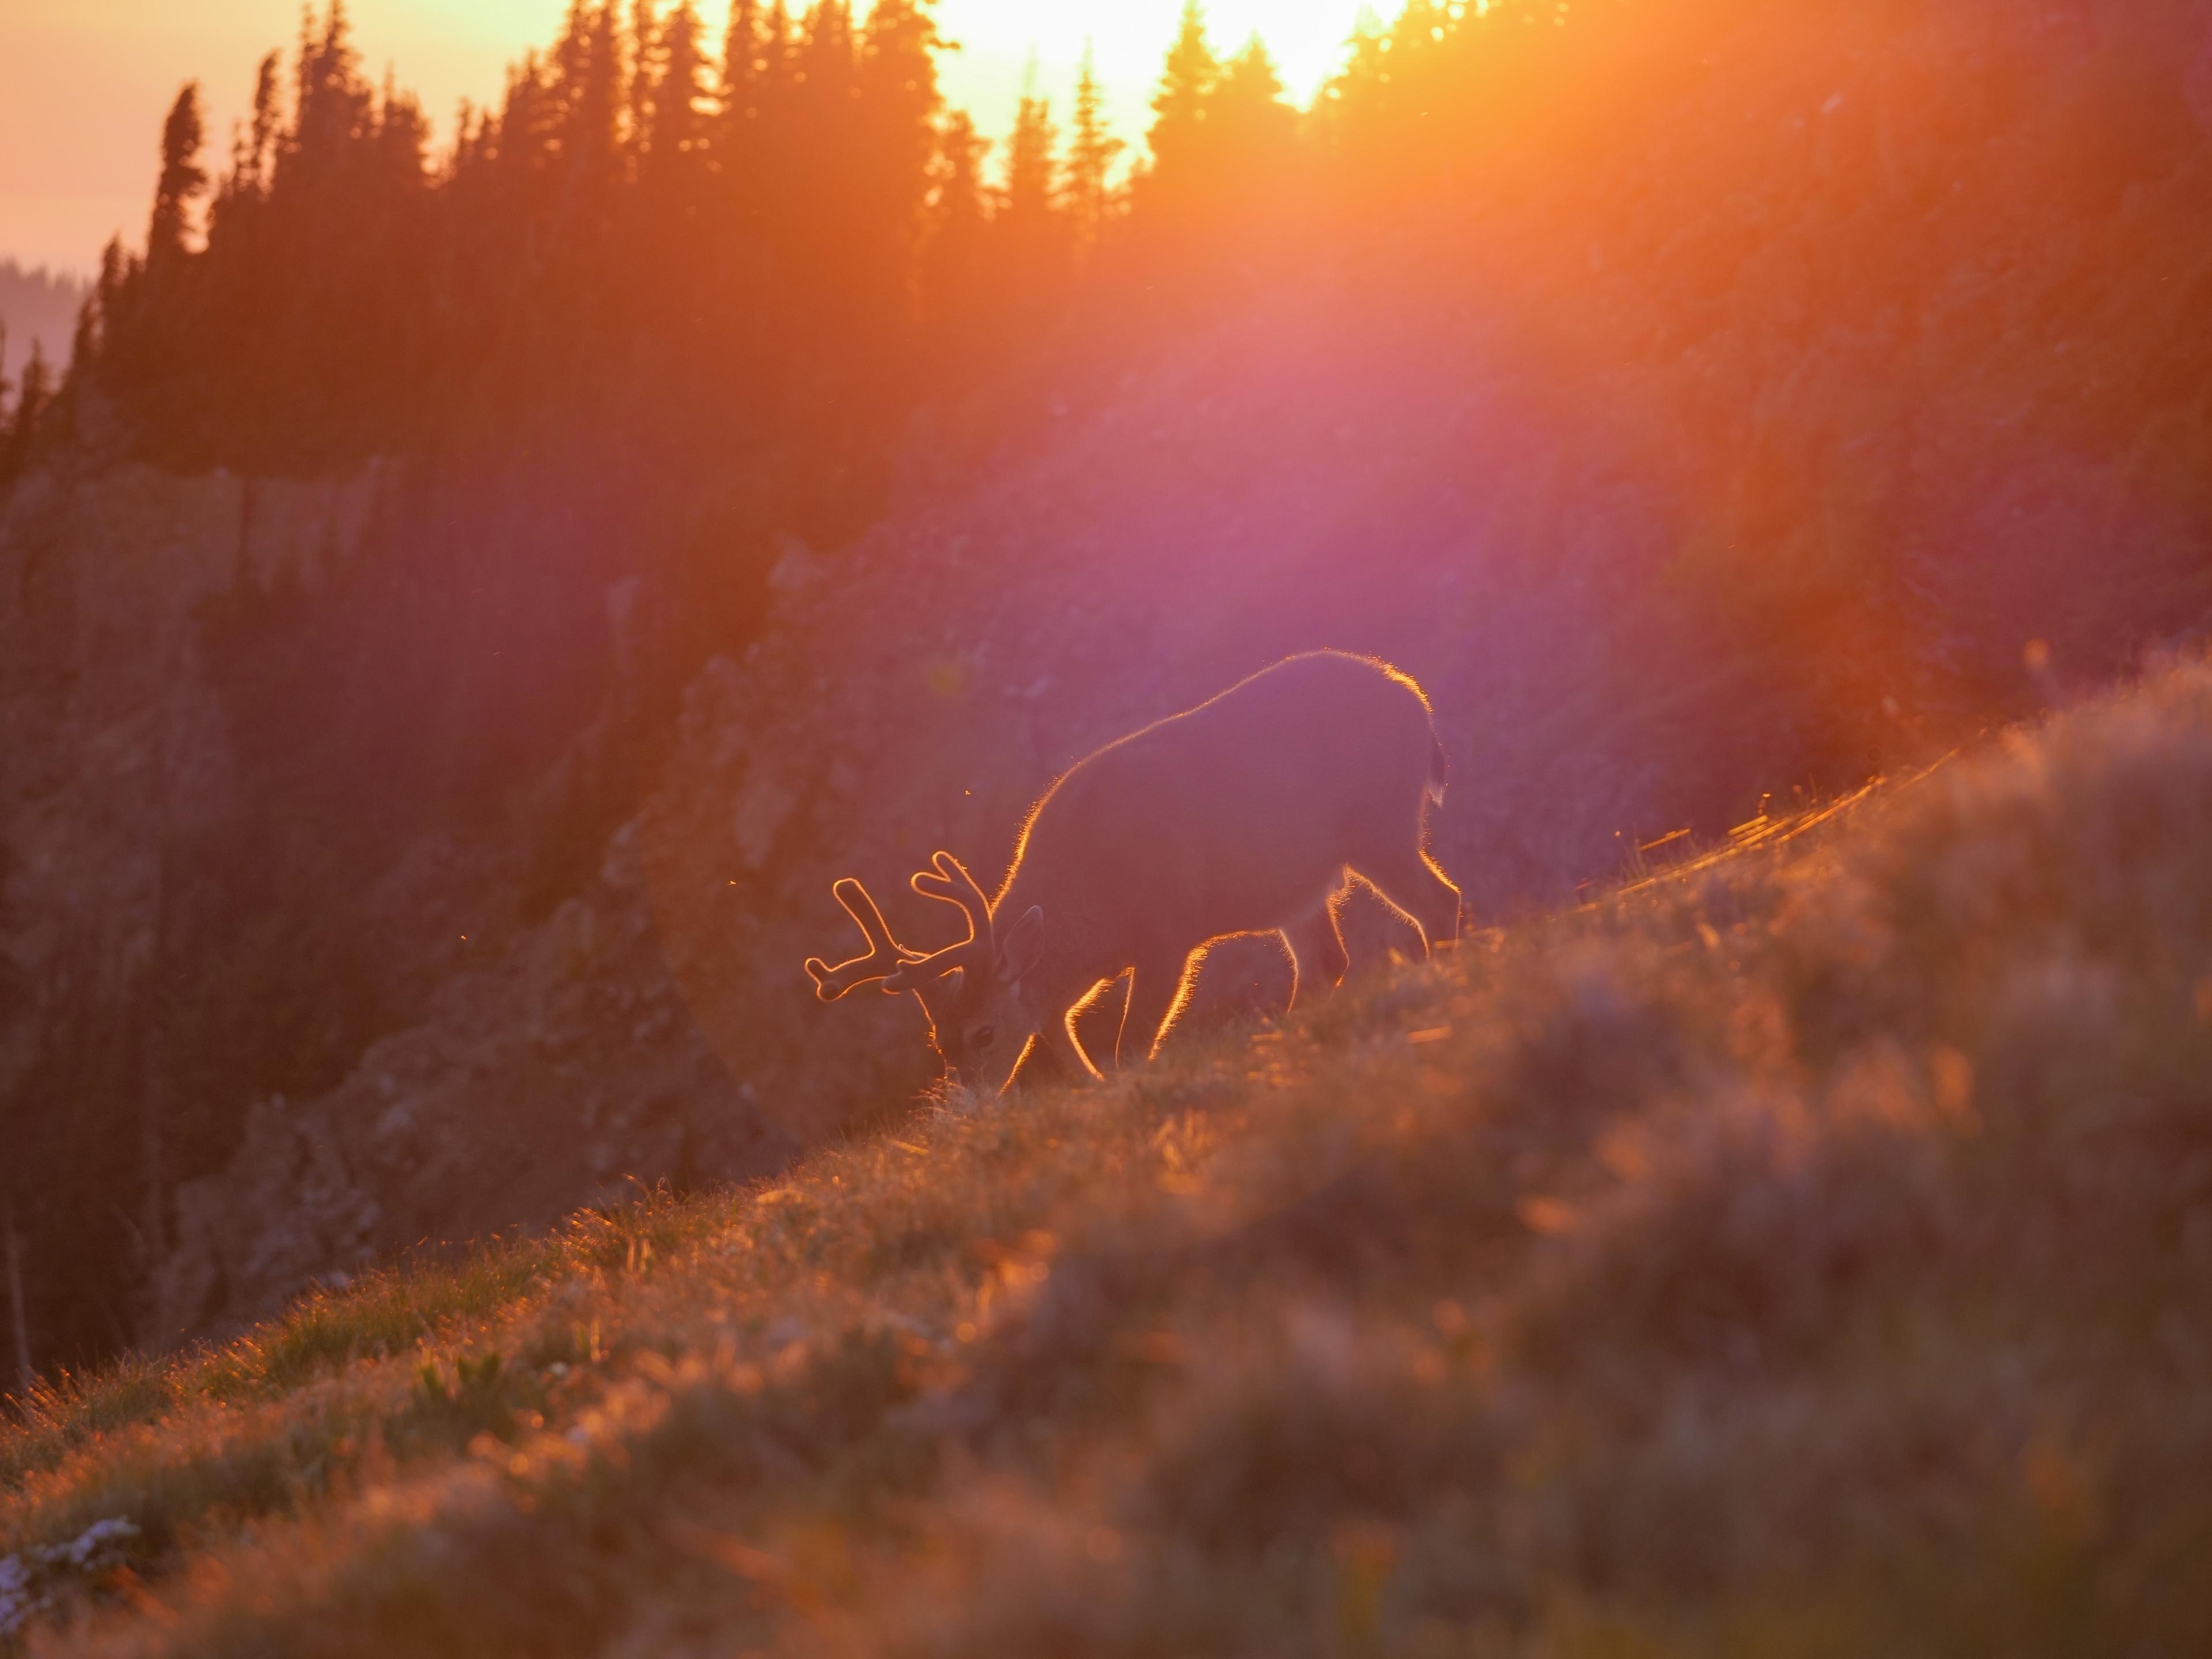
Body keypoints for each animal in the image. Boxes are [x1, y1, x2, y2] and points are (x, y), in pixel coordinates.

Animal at [805, 654, 1460, 1106]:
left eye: (984, 1034)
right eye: (937, 1041)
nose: (966, 1105)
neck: (1093, 906)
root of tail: (1416, 699)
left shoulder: (1168, 934)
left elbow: (1131, 1044)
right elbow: (1066, 1040)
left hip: (1379, 823)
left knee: (1439, 902)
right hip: (1297, 887)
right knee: (1326, 961)